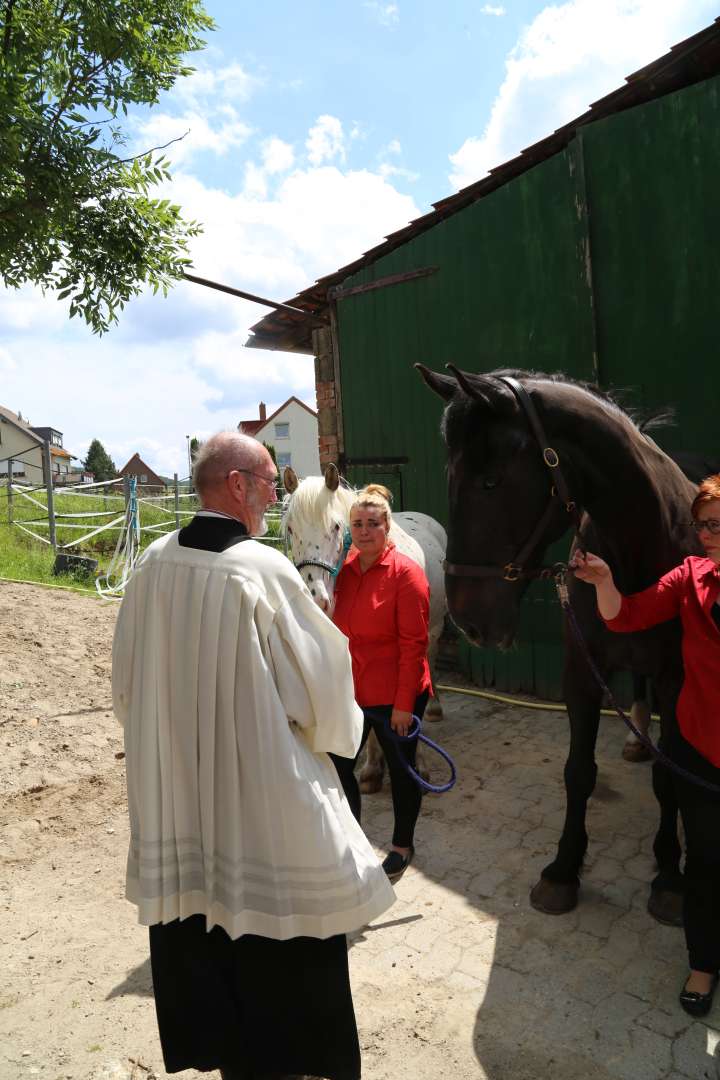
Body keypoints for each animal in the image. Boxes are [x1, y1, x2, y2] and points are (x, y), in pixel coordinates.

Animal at [416, 362, 703, 920]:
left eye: (490, 481)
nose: (467, 621)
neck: (635, 554)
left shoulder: (675, 678)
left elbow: (668, 780)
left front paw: (670, 877)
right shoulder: (581, 675)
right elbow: (578, 772)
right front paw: (563, 869)